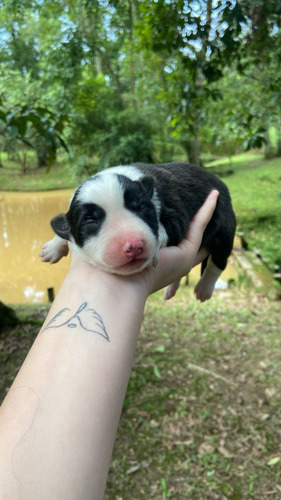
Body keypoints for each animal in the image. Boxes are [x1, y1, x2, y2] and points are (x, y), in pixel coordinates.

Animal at [39, 163, 235, 300]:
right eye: (90, 221)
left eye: (140, 207)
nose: (133, 246)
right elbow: (64, 225)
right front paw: (52, 248)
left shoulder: (175, 214)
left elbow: (166, 229)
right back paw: (171, 290)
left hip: (225, 226)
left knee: (218, 262)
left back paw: (204, 289)